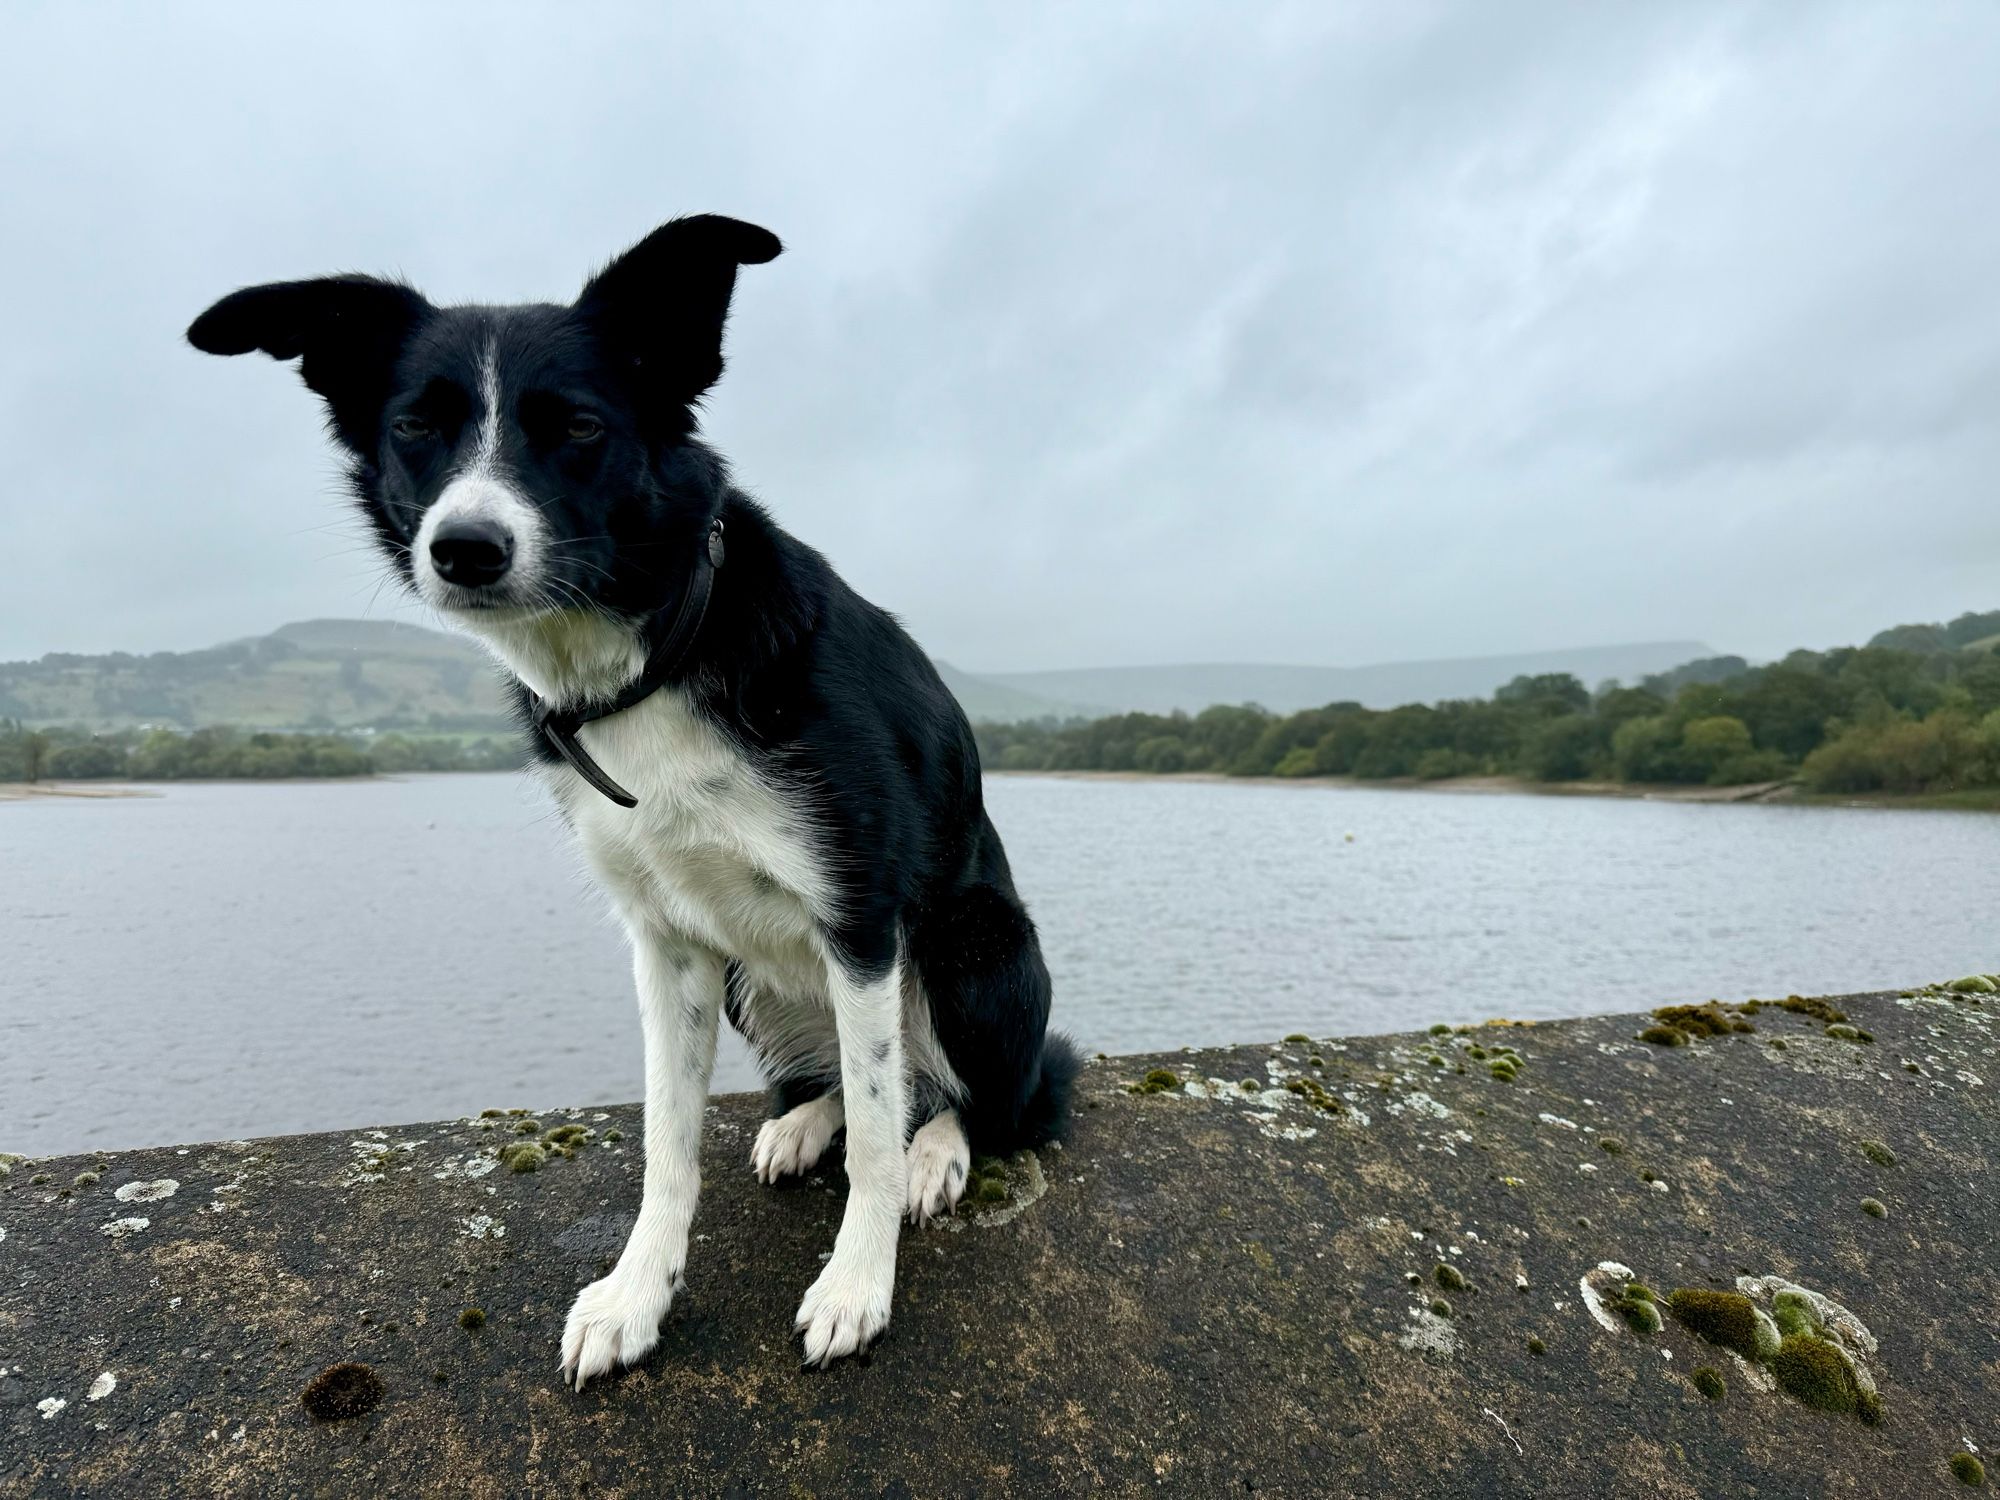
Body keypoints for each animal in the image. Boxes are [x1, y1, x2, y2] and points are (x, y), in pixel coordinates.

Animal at [191, 214, 1080, 1384]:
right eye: (414, 427)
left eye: (578, 426)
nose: (464, 549)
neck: (653, 654)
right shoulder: (667, 939)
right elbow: (669, 1140)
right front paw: (635, 1295)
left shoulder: (860, 915)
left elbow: (880, 1135)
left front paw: (856, 1285)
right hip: (757, 978)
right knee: (849, 1085)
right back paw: (804, 1123)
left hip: (975, 942)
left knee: (991, 1099)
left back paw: (940, 1149)